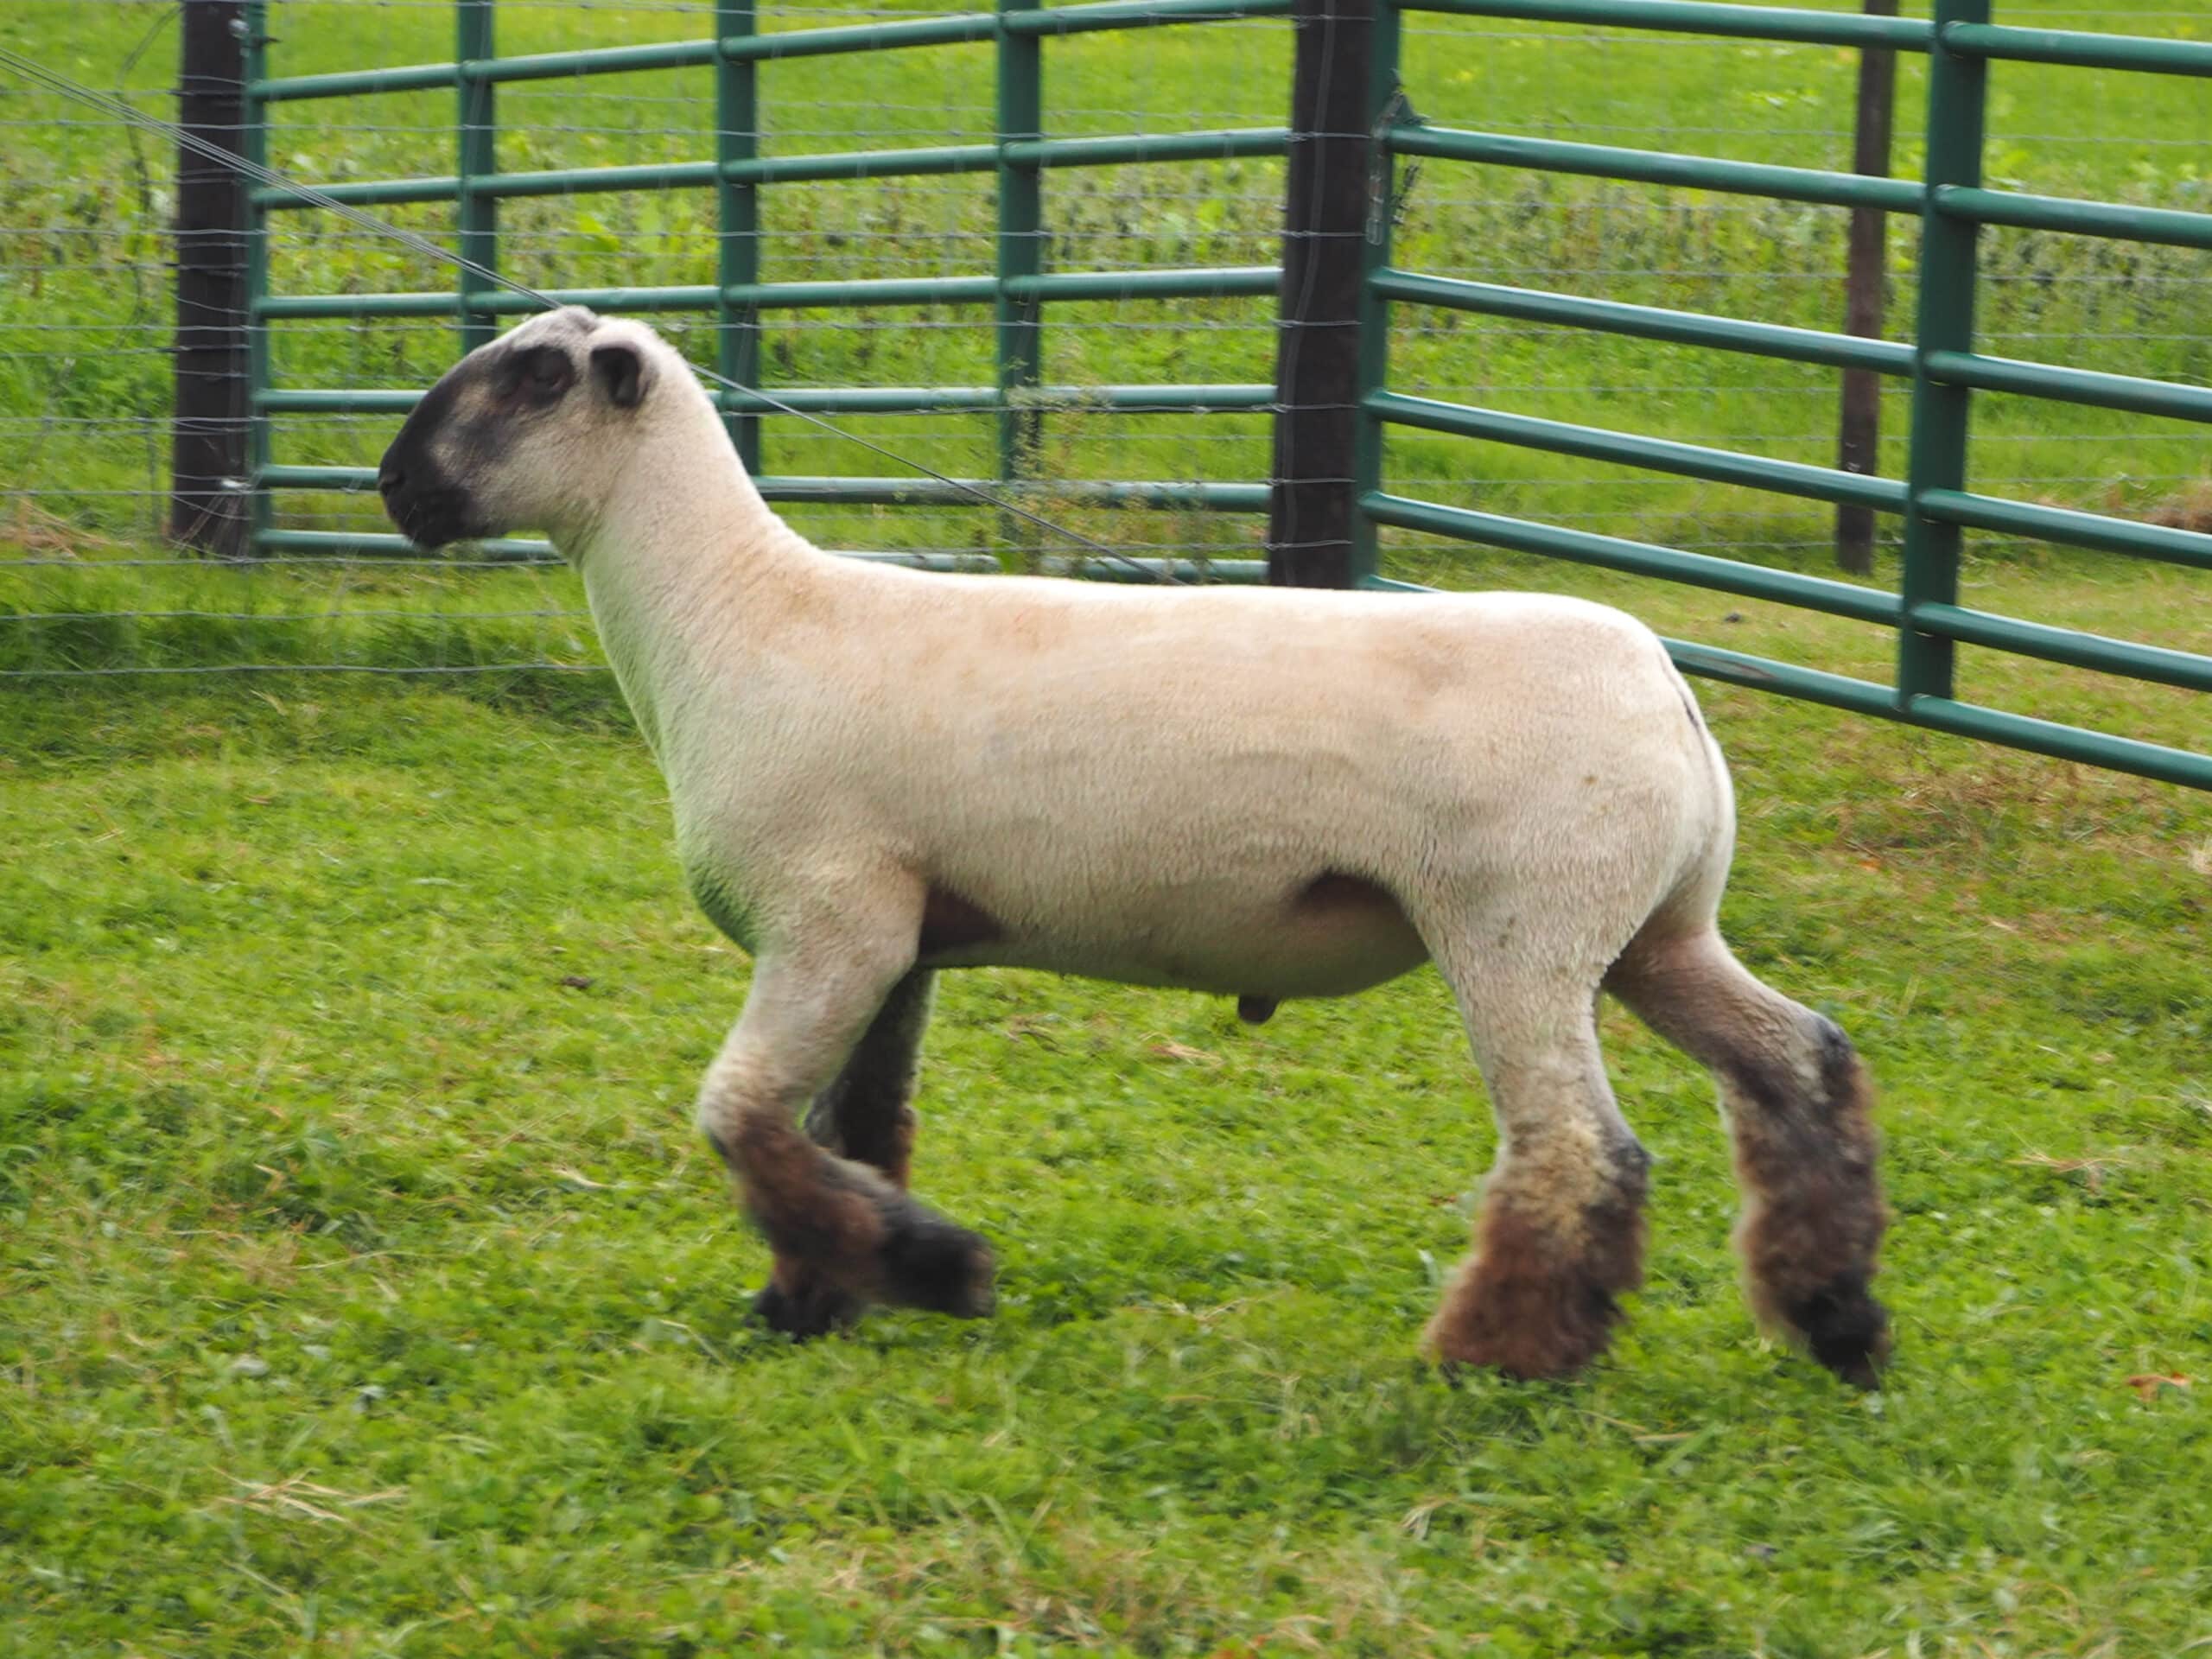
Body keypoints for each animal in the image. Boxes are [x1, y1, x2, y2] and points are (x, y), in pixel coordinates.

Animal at [376, 306, 1890, 1385]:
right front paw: (822, 1298)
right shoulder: (902, 935)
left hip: (1521, 930)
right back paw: (1837, 1319)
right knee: (1799, 1062)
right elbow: (847, 1125)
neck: (732, 619)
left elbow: (743, 1117)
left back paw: (1501, 1359)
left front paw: (935, 1273)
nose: (393, 490)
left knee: (1581, 1152)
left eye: (527, 380)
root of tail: (1668, 690)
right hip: (1655, 930)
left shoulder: (829, 917)